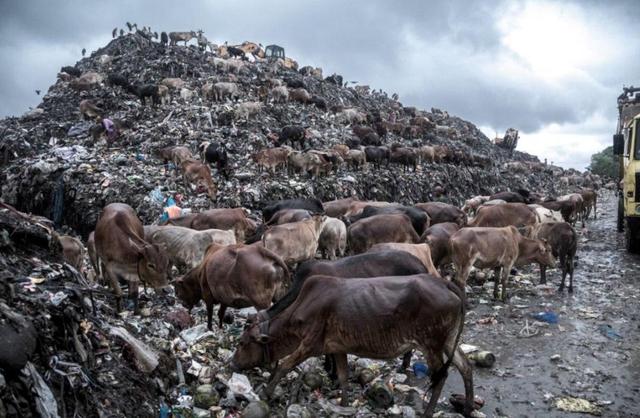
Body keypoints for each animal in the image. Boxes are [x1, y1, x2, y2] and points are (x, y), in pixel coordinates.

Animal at [232, 274, 472, 414]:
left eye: (242, 342)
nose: (232, 363)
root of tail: (445, 283)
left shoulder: (309, 344)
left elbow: (284, 365)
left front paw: (266, 392)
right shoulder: (338, 347)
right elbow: (343, 377)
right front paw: (345, 405)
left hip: (432, 343)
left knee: (441, 376)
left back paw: (429, 411)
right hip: (449, 340)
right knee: (465, 367)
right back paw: (468, 408)